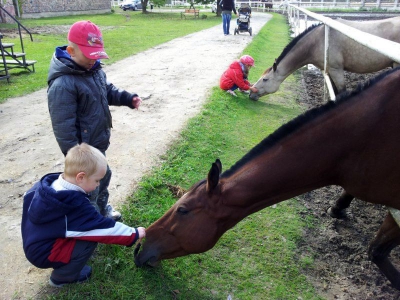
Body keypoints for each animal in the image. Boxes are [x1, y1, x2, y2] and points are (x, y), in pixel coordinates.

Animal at [248, 16, 400, 101]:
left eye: (265, 79)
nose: (251, 94)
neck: (318, 41)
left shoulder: (336, 70)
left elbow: (341, 92)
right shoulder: (329, 71)